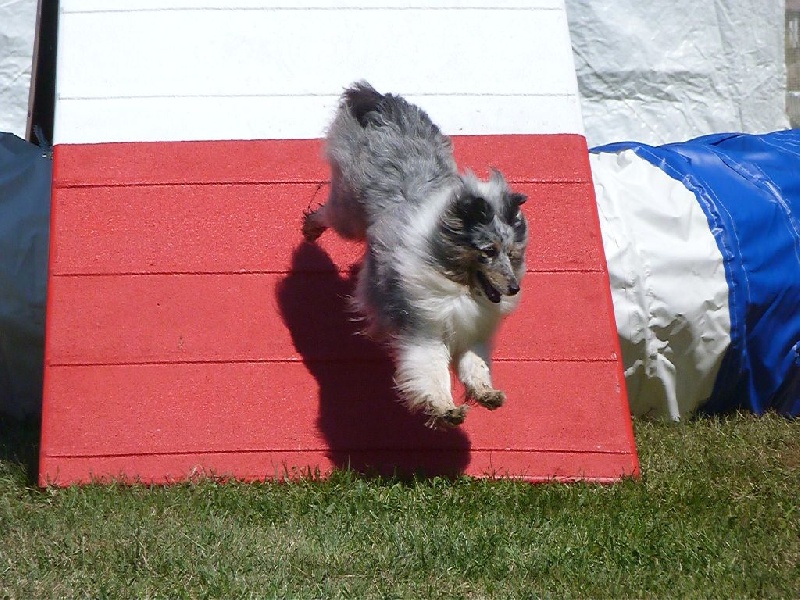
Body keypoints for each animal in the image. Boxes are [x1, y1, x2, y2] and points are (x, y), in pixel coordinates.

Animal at [304, 82, 528, 428]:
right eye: (488, 251)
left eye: (512, 253)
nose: (514, 288)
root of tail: (383, 103)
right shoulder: (423, 330)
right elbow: (432, 370)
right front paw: (445, 408)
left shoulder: (470, 330)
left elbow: (475, 364)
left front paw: (486, 393)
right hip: (349, 217)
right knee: (329, 213)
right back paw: (311, 228)